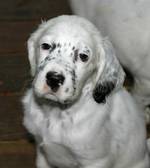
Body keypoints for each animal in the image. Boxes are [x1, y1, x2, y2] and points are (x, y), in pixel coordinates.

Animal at [22, 15, 150, 168]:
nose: (54, 79)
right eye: (46, 46)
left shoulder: (96, 160)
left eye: (83, 56)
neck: (56, 113)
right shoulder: (43, 154)